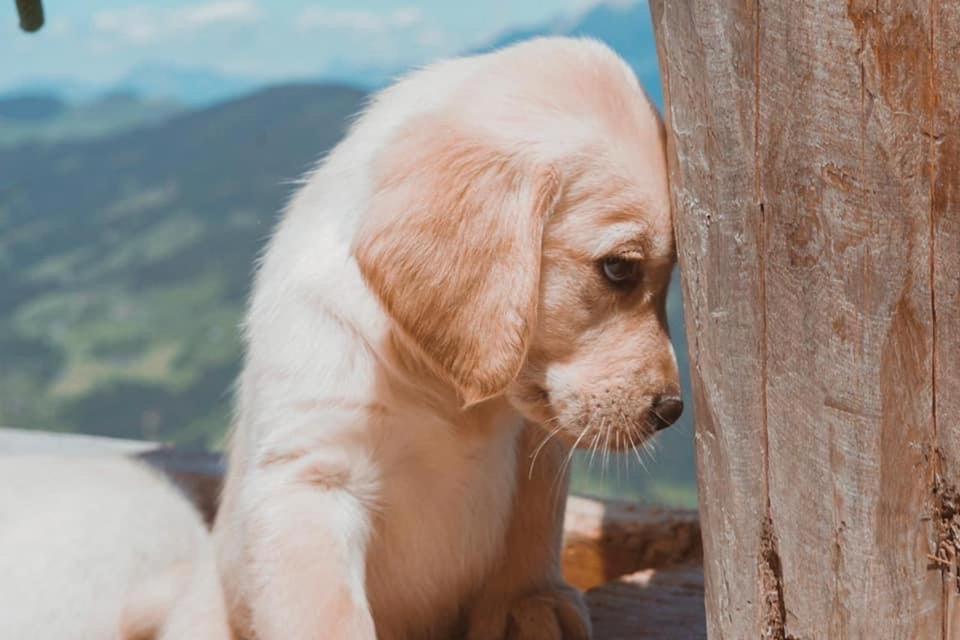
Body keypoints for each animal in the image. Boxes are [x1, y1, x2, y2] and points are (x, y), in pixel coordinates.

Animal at [213, 36, 680, 640]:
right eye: (619, 269)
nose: (671, 410)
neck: (442, 387)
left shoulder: (535, 448)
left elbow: (533, 524)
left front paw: (528, 602)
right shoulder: (310, 477)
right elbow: (327, 609)